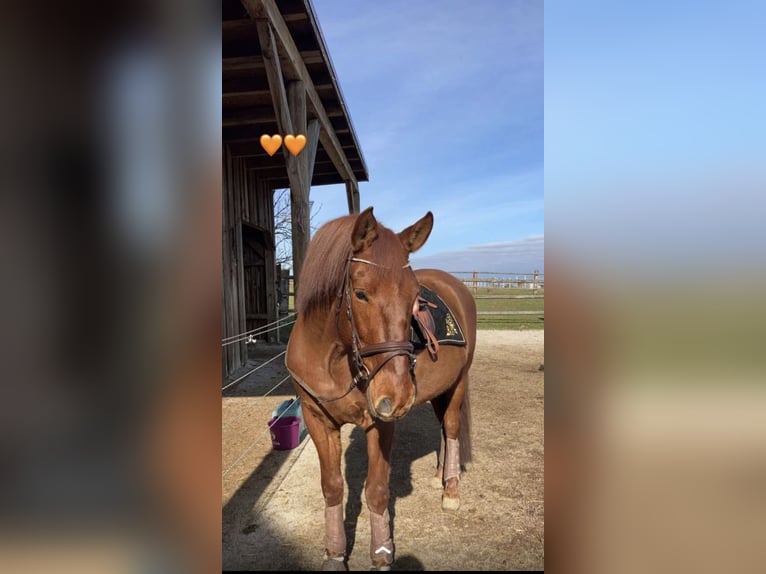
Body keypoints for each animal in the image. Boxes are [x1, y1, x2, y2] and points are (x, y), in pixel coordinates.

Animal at [285, 206, 477, 571]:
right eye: (361, 293)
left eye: (414, 297)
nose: (398, 396)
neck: (334, 360)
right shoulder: (318, 421)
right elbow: (332, 487)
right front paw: (335, 554)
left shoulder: (381, 422)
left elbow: (376, 492)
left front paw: (382, 555)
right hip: (438, 390)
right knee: (442, 427)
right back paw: (439, 475)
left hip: (459, 382)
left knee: (452, 427)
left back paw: (451, 490)